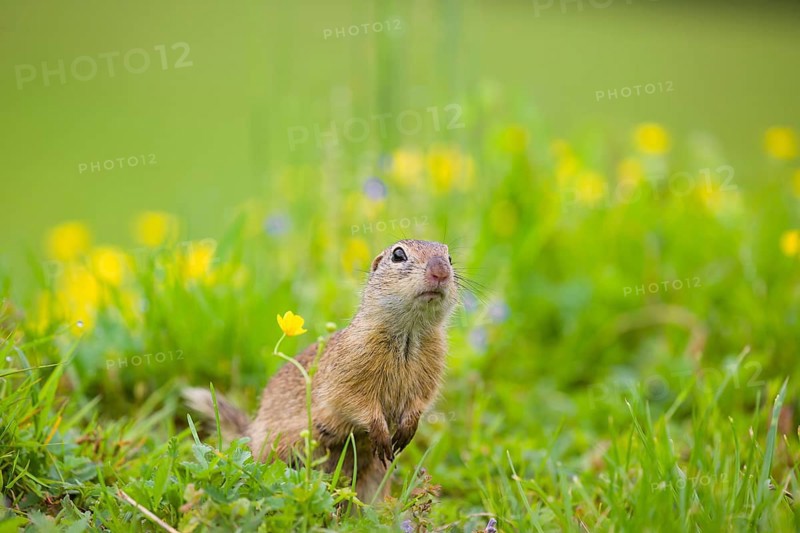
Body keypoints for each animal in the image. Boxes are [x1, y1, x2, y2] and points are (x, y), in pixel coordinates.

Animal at [184, 239, 458, 502]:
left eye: (449, 257)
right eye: (398, 255)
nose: (440, 271)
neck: (409, 335)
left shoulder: (430, 374)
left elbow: (420, 401)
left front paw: (406, 431)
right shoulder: (349, 373)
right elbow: (355, 402)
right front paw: (381, 433)